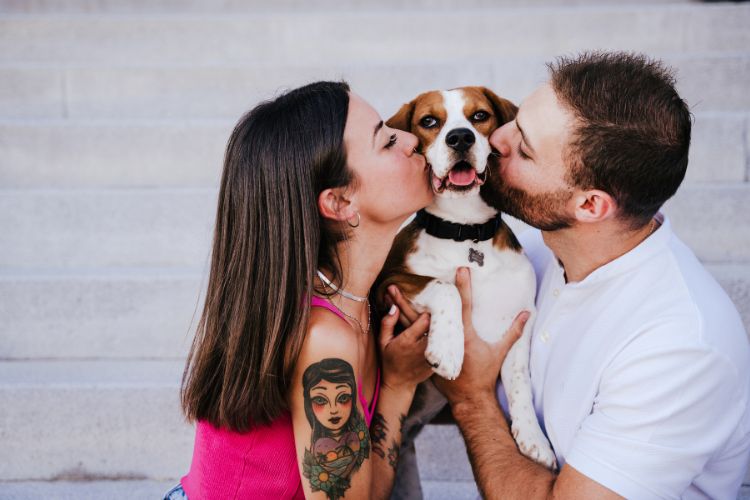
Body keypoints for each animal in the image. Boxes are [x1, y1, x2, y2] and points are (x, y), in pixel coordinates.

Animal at [376, 84, 560, 494]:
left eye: (479, 116)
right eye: (429, 121)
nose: (460, 137)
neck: (465, 232)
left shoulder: (519, 319)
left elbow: (520, 381)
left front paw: (533, 438)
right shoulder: (388, 284)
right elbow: (445, 285)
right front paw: (448, 348)